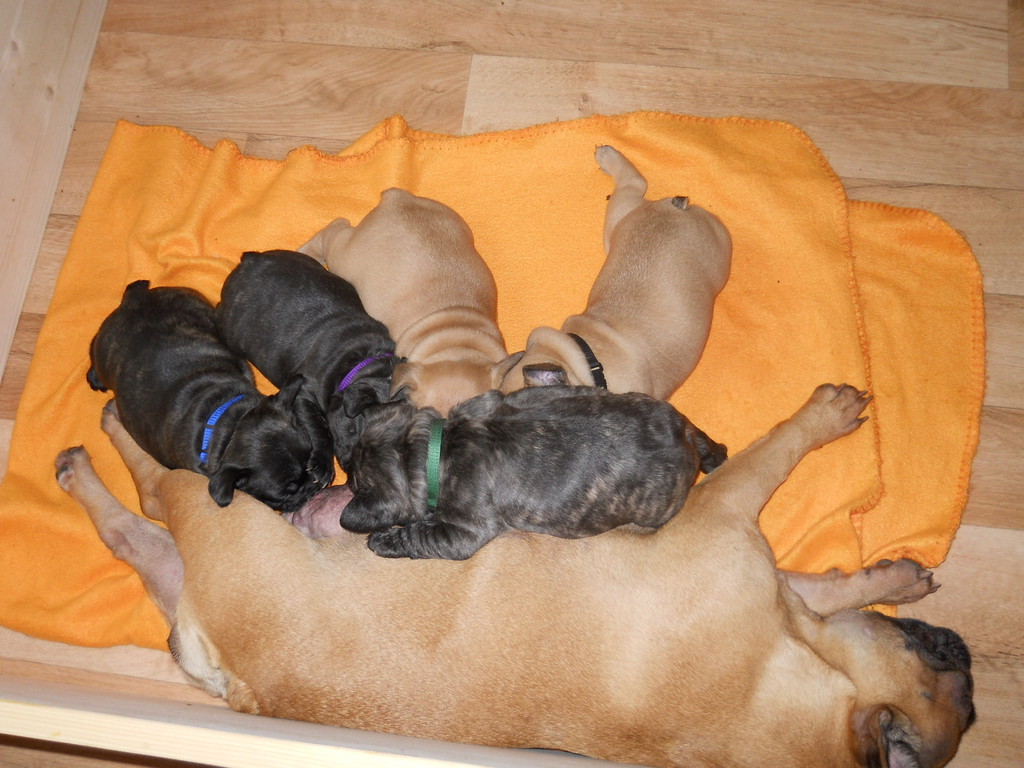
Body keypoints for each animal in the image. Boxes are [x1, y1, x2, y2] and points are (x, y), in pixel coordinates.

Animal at [87, 280, 334, 512]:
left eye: (309, 458)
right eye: (287, 492)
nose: (313, 487)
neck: (231, 426)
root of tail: (135, 298)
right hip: (104, 353)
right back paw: (94, 377)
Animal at [215, 249, 399, 468]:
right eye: (353, 430)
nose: (350, 468)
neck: (363, 363)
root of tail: (250, 260)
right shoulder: (304, 392)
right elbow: (319, 428)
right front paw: (322, 465)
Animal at [339, 386, 727, 560]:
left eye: (354, 480)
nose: (342, 463)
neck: (432, 449)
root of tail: (684, 436)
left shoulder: (462, 533)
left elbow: (418, 535)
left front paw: (383, 540)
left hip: (654, 510)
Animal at [500, 145, 732, 397]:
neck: (587, 362)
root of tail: (673, 209)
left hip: (719, 252)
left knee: (636, 184)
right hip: (619, 219)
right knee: (633, 185)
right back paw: (608, 158)